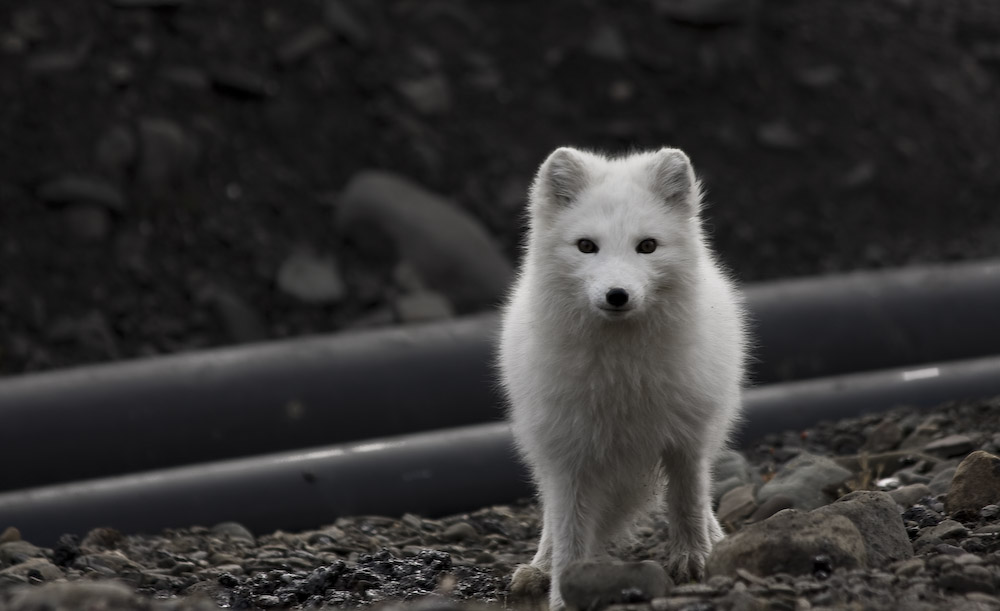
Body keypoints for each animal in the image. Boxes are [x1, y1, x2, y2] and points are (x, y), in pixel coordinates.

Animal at [498, 147, 744, 608]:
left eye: (647, 246)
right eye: (586, 246)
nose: (617, 295)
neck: (622, 375)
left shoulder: (687, 439)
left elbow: (687, 501)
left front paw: (694, 558)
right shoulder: (567, 456)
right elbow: (570, 532)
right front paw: (563, 590)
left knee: (702, 498)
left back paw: (716, 540)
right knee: (550, 519)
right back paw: (540, 567)